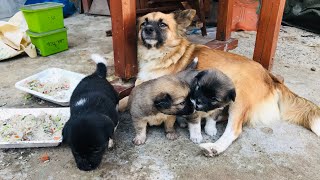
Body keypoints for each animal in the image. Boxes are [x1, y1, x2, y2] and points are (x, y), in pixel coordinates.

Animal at [119, 9, 320, 156]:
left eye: (162, 24)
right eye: (144, 22)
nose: (147, 29)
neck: (161, 54)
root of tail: (271, 77)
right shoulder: (141, 85)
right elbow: (125, 97)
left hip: (239, 97)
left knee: (234, 130)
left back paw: (214, 147)